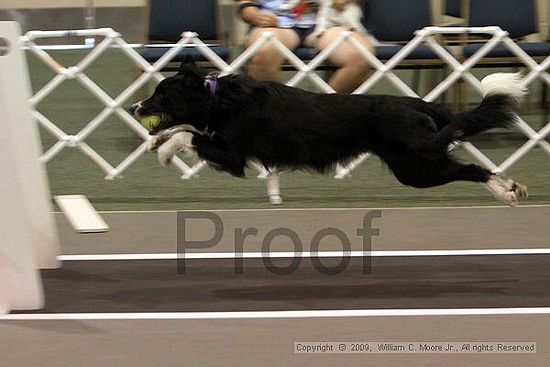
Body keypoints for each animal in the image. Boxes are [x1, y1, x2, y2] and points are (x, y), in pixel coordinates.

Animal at [130, 63, 532, 207]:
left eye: (160, 94)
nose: (134, 107)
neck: (217, 98)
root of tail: (420, 104)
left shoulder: (232, 155)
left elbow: (188, 135)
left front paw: (164, 151)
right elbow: (184, 128)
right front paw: (154, 142)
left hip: (415, 167)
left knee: (471, 169)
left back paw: (507, 191)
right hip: (416, 164)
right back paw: (510, 188)